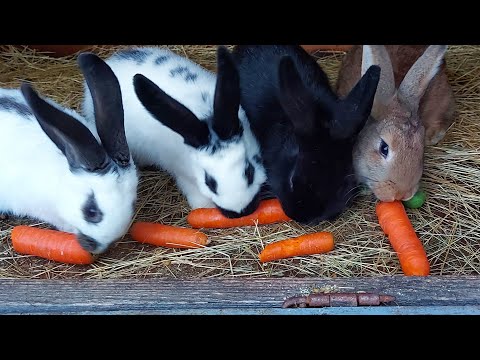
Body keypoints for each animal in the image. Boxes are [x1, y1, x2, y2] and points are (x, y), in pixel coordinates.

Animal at [82, 46, 266, 218]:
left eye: (249, 172)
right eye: (210, 182)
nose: (240, 212)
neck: (205, 116)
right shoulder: (183, 175)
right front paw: (203, 206)